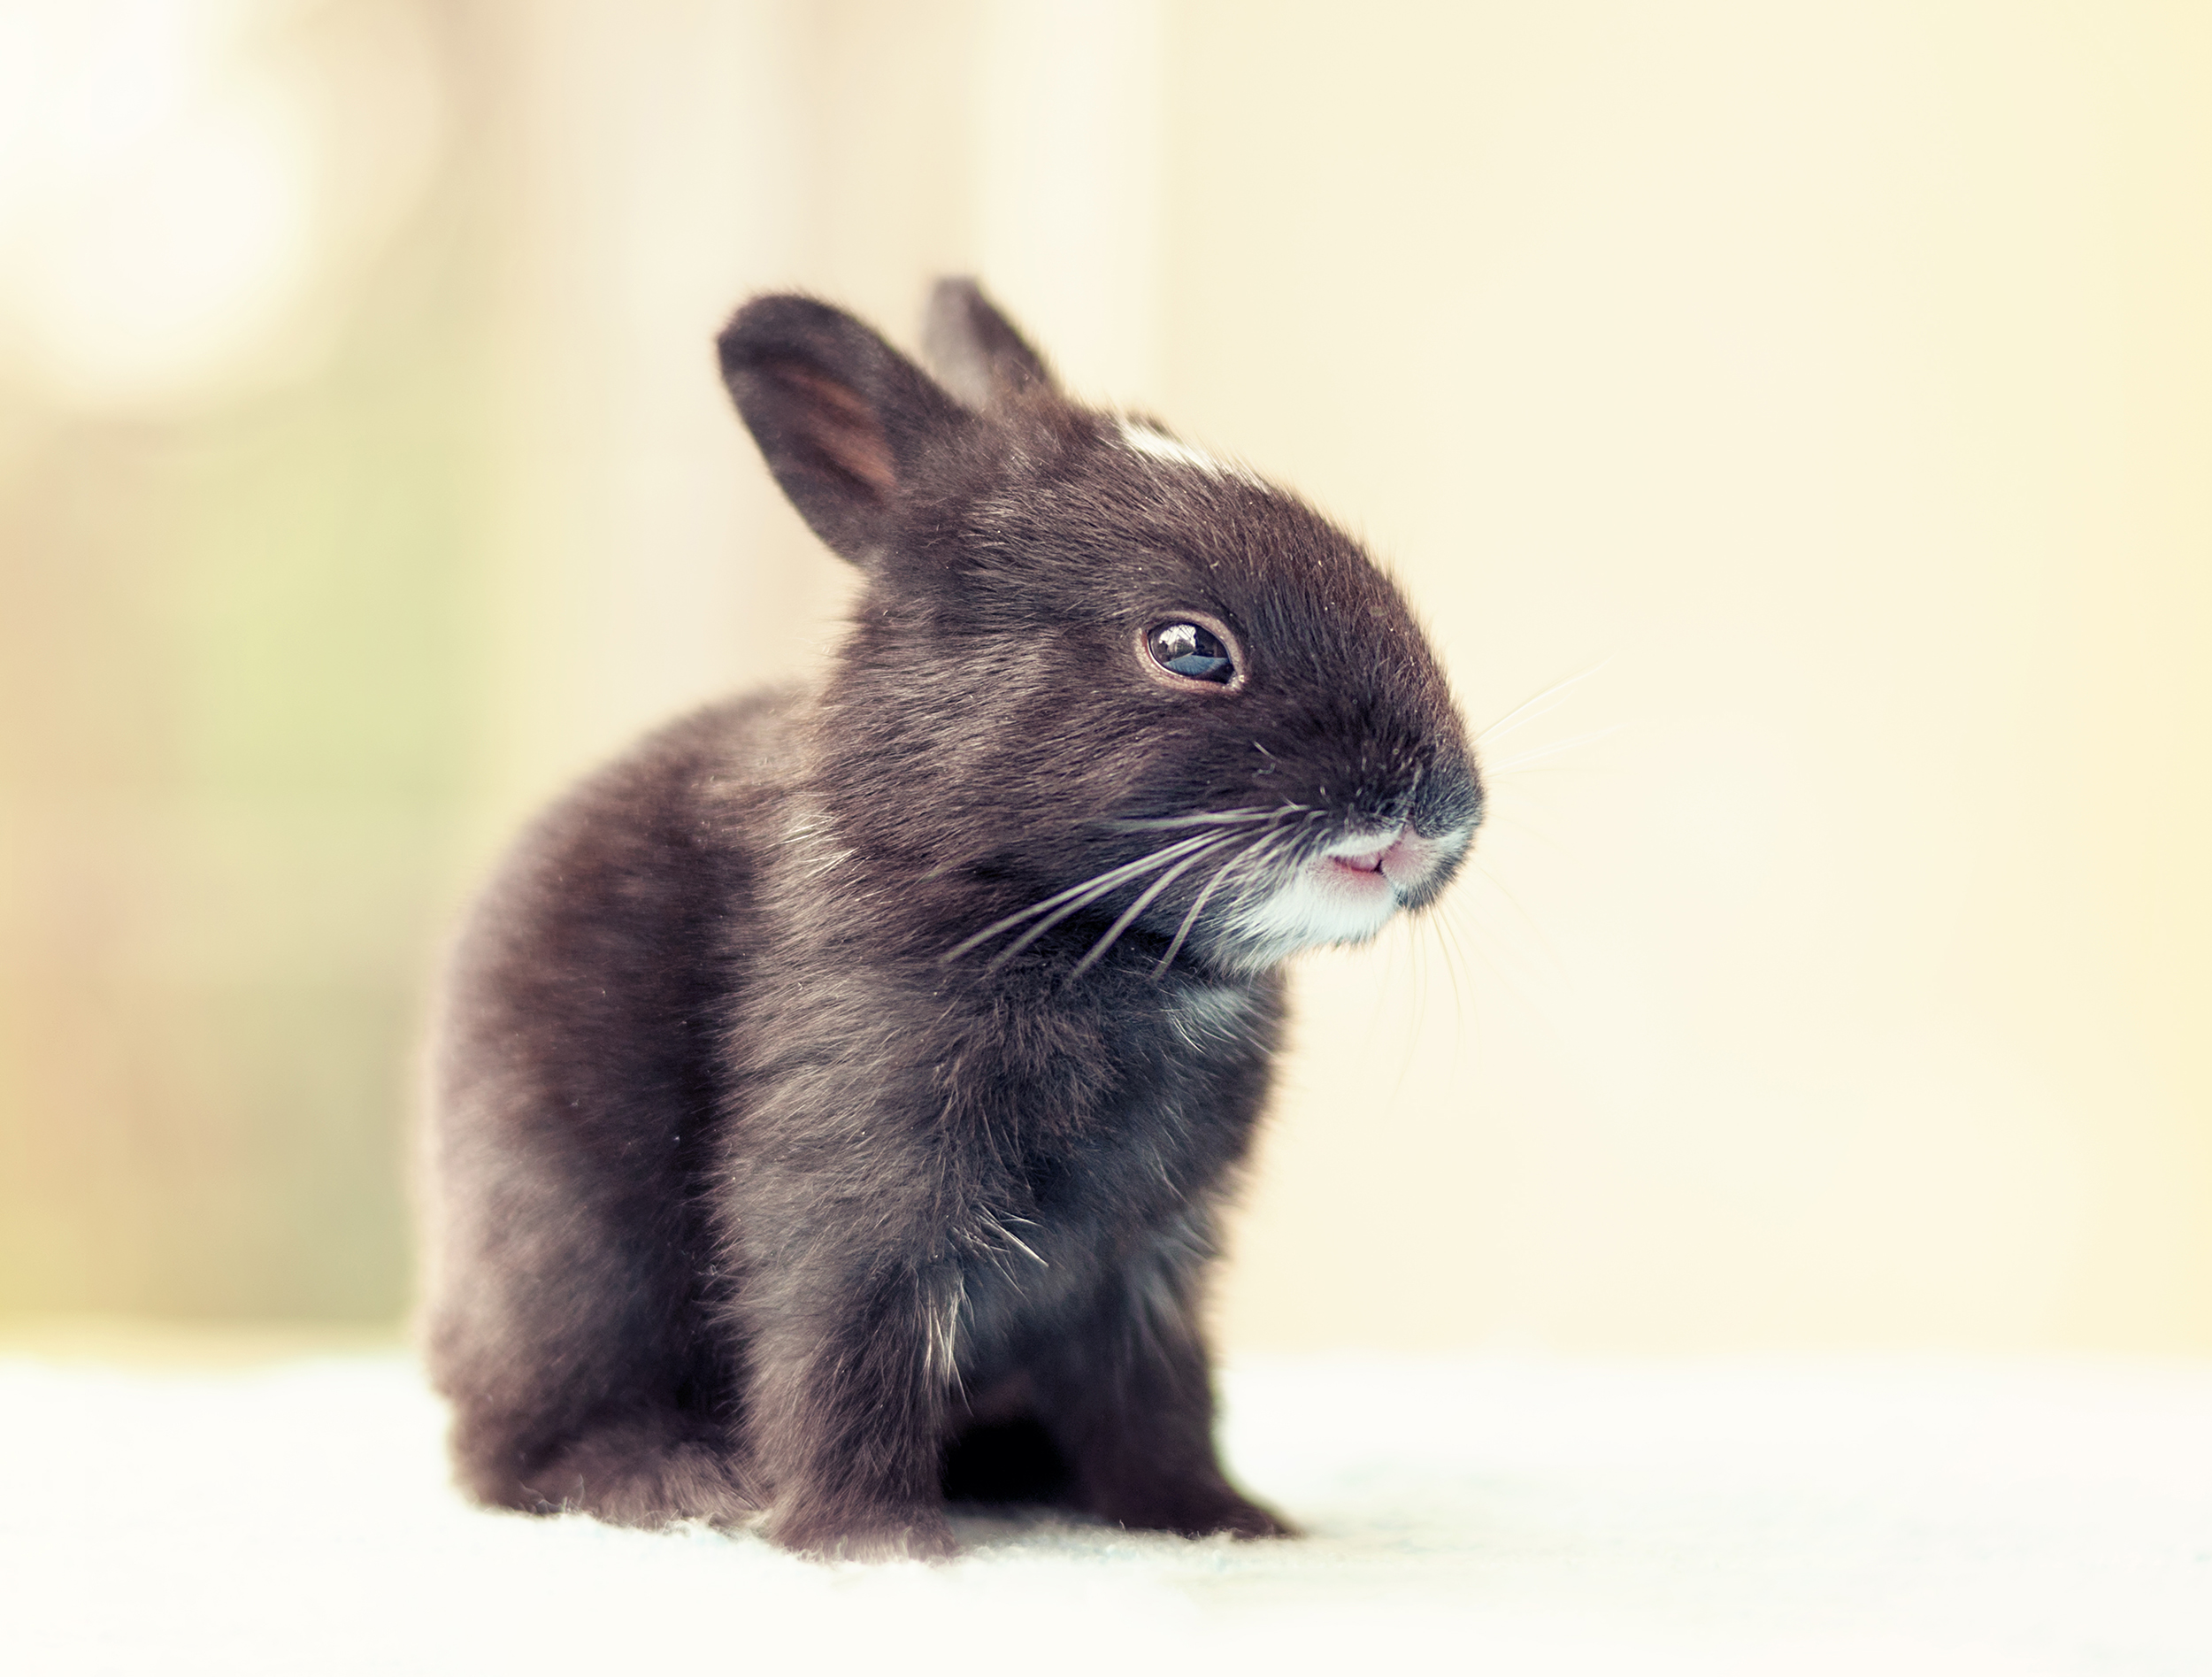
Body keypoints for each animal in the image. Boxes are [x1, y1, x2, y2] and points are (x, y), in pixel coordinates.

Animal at [418, 279, 1486, 1566]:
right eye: (1189, 647)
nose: (1437, 806)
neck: (1075, 930)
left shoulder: (1153, 1259)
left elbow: (1161, 1399)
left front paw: (1222, 1522)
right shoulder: (860, 1205)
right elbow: (846, 1362)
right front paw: (874, 1540)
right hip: (563, 1259)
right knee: (512, 1455)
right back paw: (672, 1477)